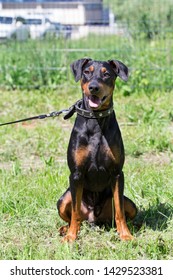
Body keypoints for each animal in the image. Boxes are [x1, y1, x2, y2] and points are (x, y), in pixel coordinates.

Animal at [57, 58, 137, 242]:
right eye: (87, 72)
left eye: (106, 74)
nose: (93, 87)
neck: (96, 119)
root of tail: (94, 218)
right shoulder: (76, 174)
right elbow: (75, 212)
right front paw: (71, 237)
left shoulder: (117, 173)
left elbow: (120, 211)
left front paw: (125, 235)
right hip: (63, 199)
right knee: (75, 215)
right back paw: (65, 229)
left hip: (130, 203)